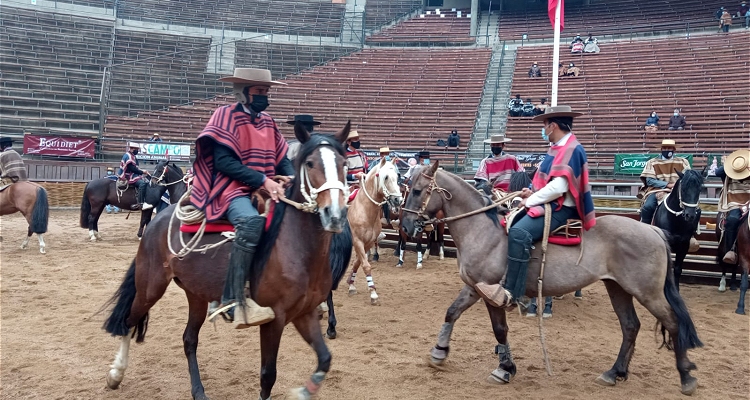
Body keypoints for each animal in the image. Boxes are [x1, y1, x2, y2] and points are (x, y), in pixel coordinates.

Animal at [100, 122, 356, 400]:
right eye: (309, 163)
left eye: (344, 163)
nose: (335, 214)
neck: (295, 246)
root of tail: (156, 222)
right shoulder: (274, 319)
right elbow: (268, 376)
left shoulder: (304, 313)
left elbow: (324, 359)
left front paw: (304, 391)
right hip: (150, 288)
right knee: (128, 322)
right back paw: (115, 374)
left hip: (195, 294)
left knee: (189, 339)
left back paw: (198, 390)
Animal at [346, 158, 406, 304]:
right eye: (386, 177)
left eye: (398, 177)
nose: (398, 200)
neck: (364, 209)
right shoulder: (357, 241)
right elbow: (366, 265)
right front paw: (373, 293)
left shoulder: (368, 242)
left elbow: (358, 263)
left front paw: (351, 284)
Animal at [402, 162, 704, 396]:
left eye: (417, 191)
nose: (404, 226)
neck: (483, 230)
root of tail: (653, 231)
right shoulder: (473, 288)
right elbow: (451, 312)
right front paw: (439, 352)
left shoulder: (492, 293)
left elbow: (500, 330)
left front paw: (505, 369)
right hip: (618, 288)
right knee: (630, 326)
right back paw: (615, 372)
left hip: (648, 292)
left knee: (673, 323)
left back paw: (686, 377)